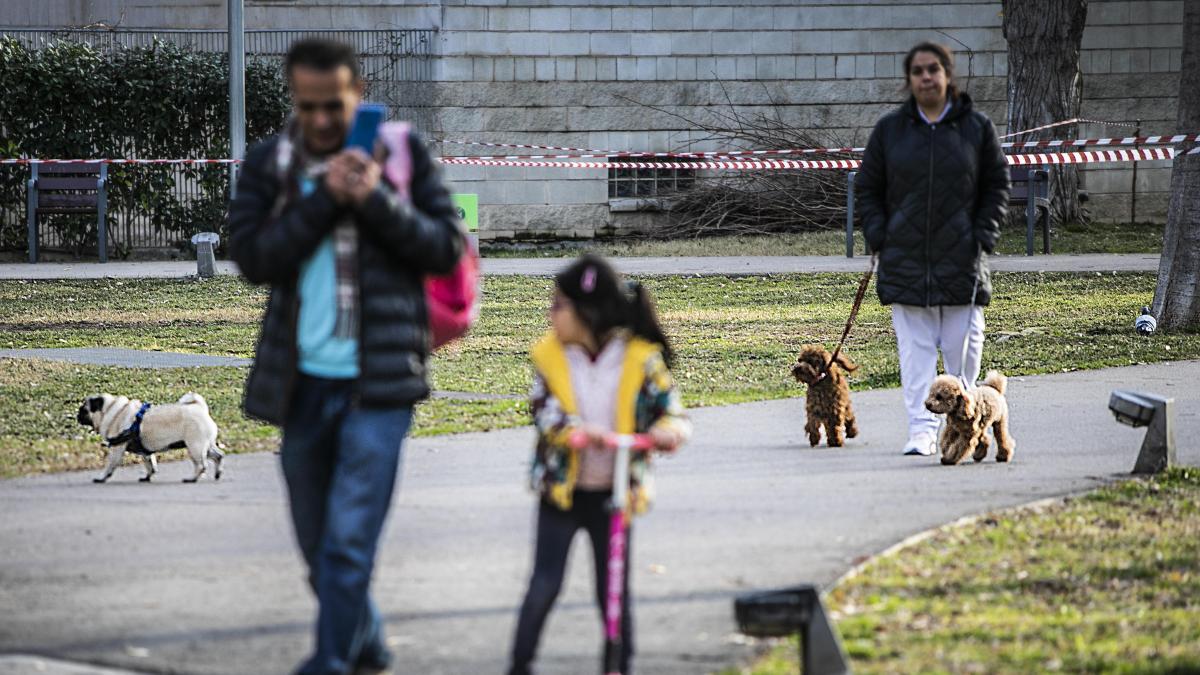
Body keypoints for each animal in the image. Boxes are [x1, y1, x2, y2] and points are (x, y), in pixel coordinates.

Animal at [77, 391, 225, 480]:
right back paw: (217, 473)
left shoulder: (116, 449)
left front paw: (101, 477)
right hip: (204, 446)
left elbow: (110, 465)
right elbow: (149, 464)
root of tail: (200, 408)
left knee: (201, 465)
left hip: (194, 447)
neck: (112, 412)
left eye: (84, 410)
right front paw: (148, 477)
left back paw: (192, 479)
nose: (77, 415)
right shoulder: (145, 452)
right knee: (218, 456)